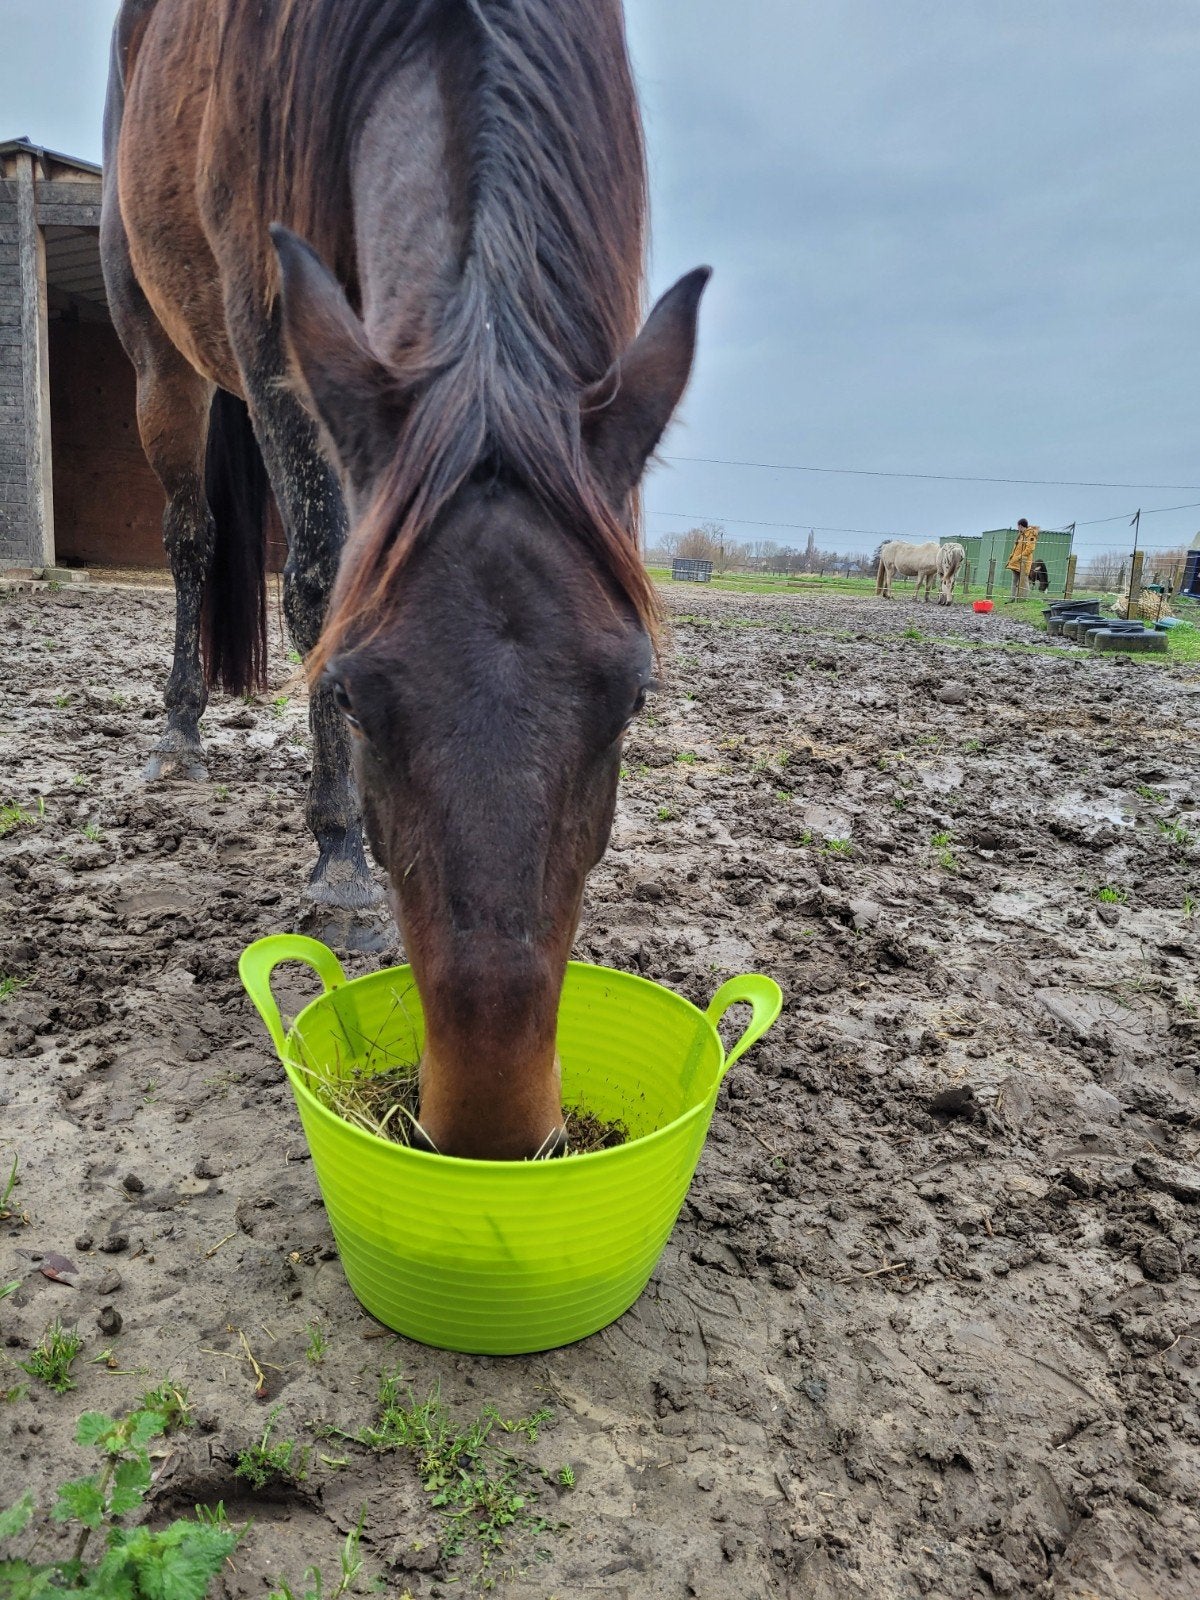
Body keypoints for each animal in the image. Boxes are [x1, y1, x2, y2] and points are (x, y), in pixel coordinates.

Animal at [102, 0, 709, 1159]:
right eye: (349, 697)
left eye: (634, 697)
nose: (491, 1130)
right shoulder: (268, 317)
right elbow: (314, 584)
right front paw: (341, 868)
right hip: (166, 356)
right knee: (193, 538)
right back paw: (178, 734)